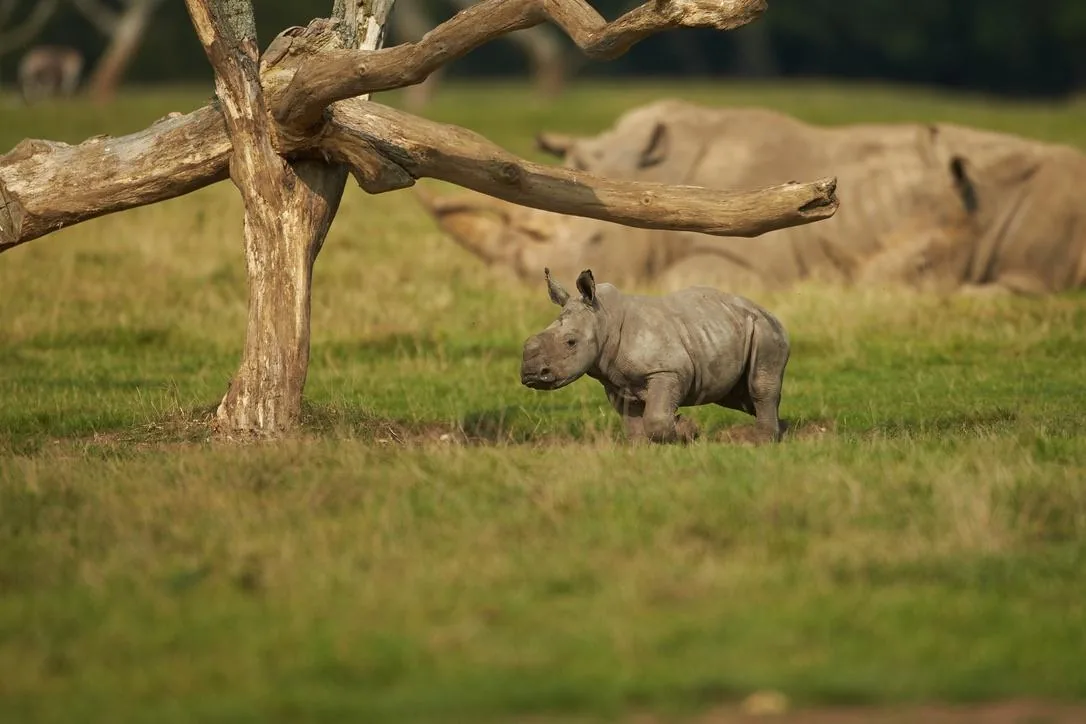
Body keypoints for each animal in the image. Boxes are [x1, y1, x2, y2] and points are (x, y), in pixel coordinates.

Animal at [520, 268, 790, 444]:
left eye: (571, 342)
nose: (531, 374)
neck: (604, 318)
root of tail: (769, 312)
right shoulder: (616, 382)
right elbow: (631, 421)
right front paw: (641, 450)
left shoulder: (668, 370)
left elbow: (656, 417)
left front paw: (687, 430)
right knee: (737, 396)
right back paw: (782, 431)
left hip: (765, 330)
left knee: (759, 386)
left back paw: (762, 441)